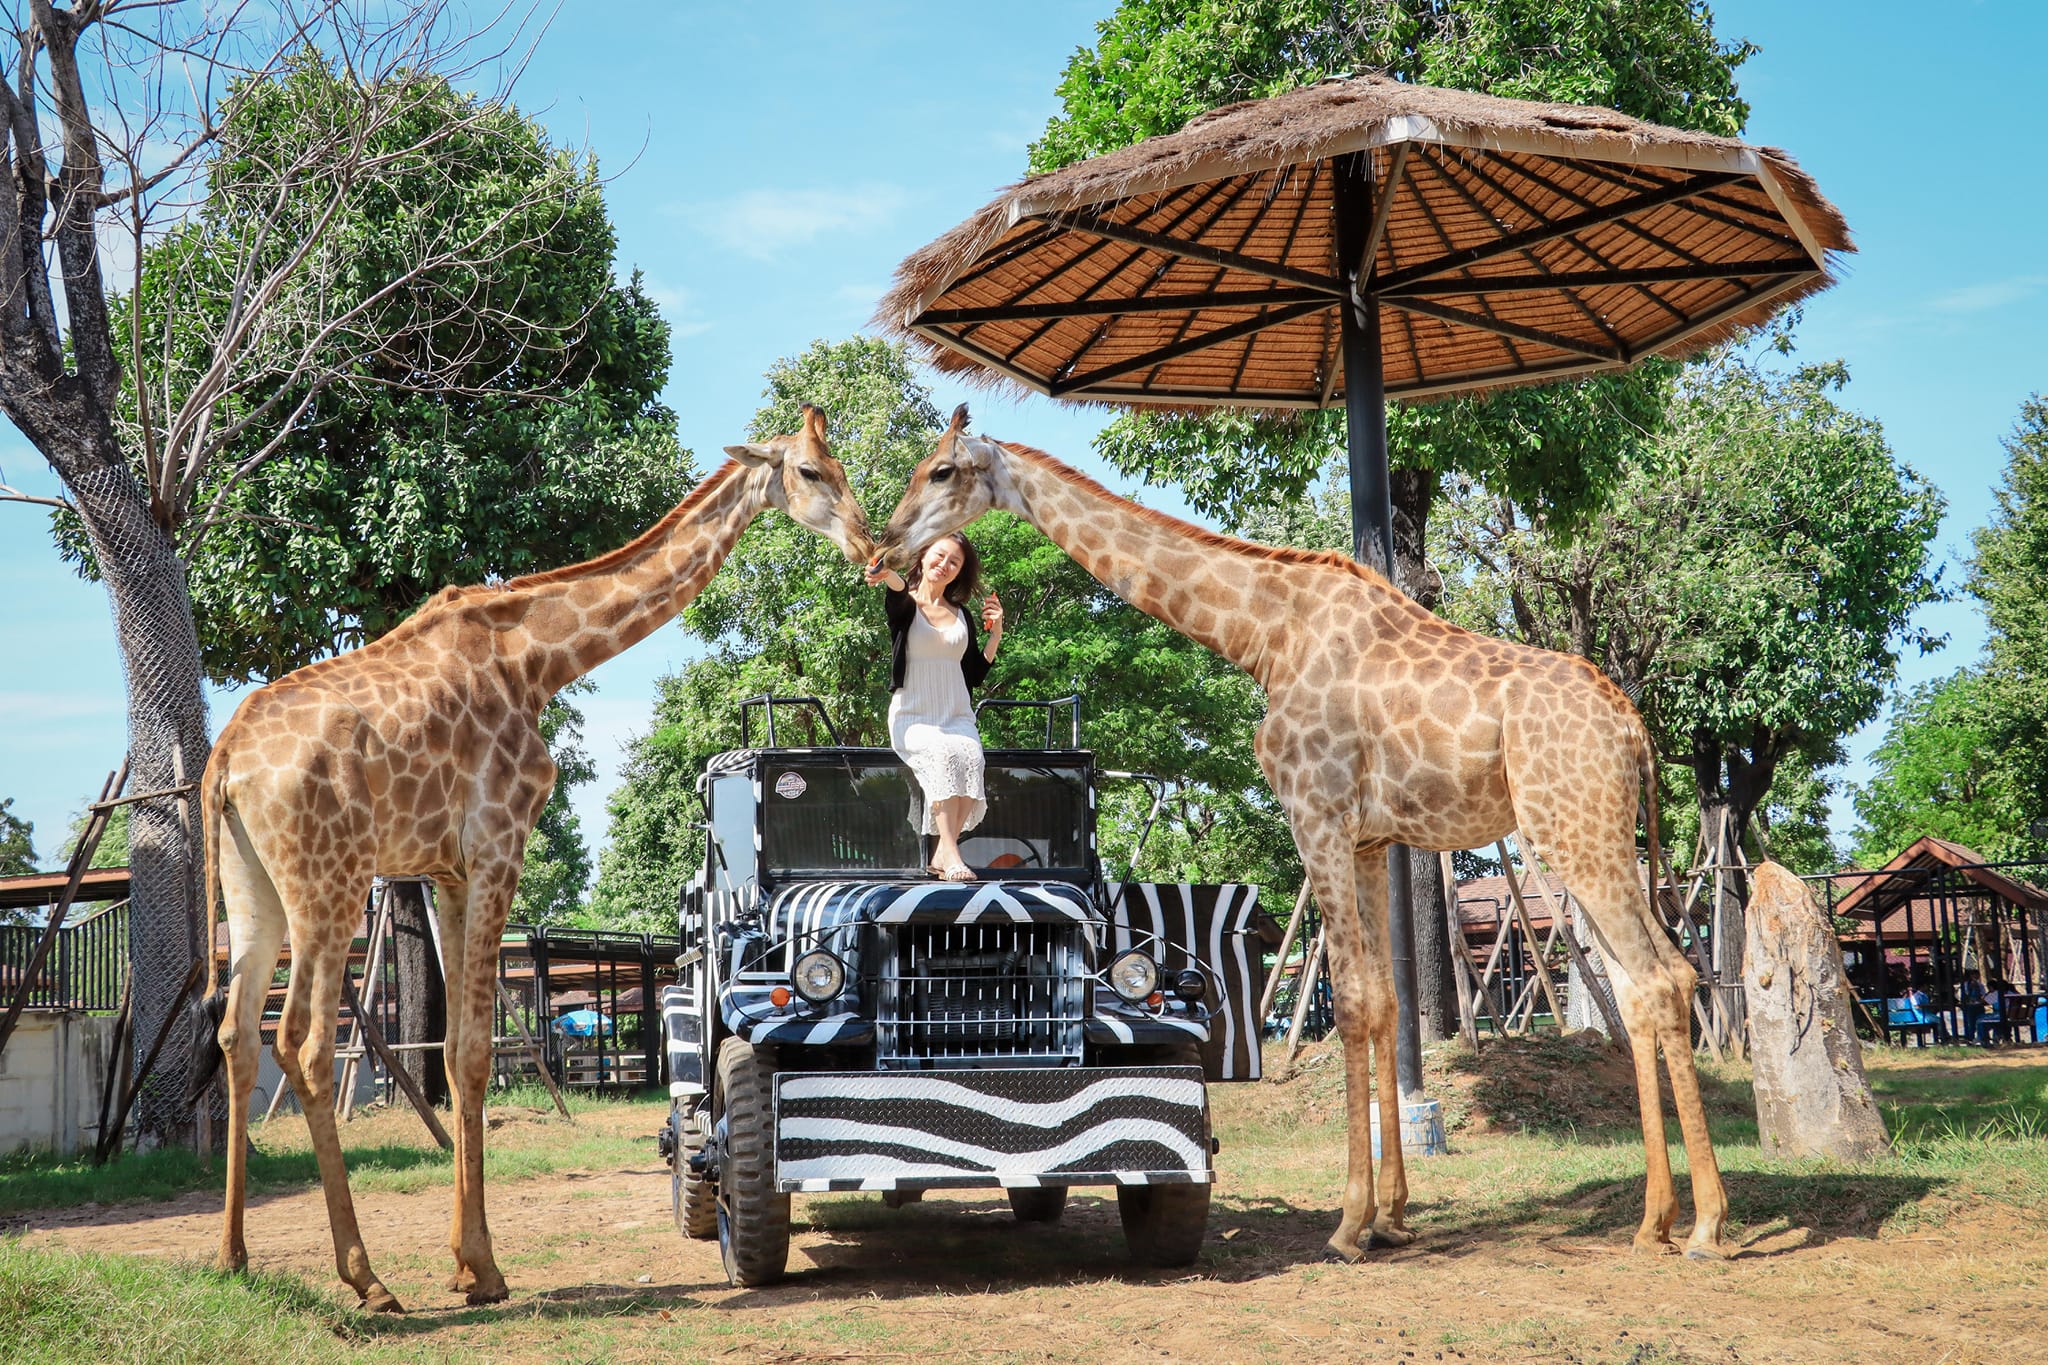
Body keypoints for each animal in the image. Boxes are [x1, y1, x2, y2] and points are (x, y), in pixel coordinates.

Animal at [199, 409, 880, 1309]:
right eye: (808, 470)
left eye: (839, 465)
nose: (871, 544)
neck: (539, 659)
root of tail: (226, 761)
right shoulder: (499, 843)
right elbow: (475, 1051)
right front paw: (483, 1269)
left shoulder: (447, 869)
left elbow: (460, 1053)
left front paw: (466, 1263)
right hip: (329, 880)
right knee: (302, 1045)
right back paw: (366, 1279)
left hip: (255, 886)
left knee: (238, 1033)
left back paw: (232, 1256)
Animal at [880, 403, 1728, 1260]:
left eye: (942, 470)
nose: (886, 543)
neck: (1261, 634)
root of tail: (1633, 729)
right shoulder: (1371, 838)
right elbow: (1385, 1000)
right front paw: (1391, 1216)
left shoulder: (1314, 810)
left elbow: (1351, 1000)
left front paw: (1349, 1224)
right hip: (1582, 833)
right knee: (1641, 984)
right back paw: (1654, 1220)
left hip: (1574, 827)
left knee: (1662, 977)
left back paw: (1705, 1224)